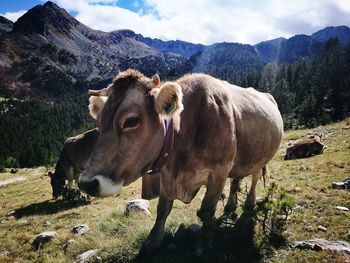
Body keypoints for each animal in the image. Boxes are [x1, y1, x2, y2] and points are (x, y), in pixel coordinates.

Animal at [78, 69, 284, 251]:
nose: (87, 183)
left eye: (131, 121)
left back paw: (249, 203)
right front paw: (153, 239)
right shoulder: (167, 174)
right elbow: (163, 208)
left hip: (260, 157)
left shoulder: (219, 171)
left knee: (254, 177)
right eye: (99, 122)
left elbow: (207, 211)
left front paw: (203, 243)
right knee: (237, 179)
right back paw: (230, 206)